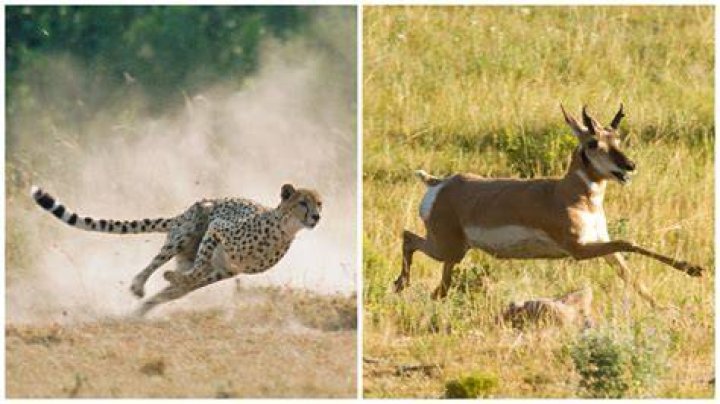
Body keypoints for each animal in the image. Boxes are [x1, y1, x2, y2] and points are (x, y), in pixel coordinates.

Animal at [395, 104, 704, 308]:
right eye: (593, 142)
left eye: (616, 138)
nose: (630, 165)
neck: (566, 193)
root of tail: (441, 183)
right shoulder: (579, 250)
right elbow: (628, 242)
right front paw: (694, 269)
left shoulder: (601, 244)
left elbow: (631, 275)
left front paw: (671, 298)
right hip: (446, 248)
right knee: (408, 238)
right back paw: (400, 285)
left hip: (454, 254)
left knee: (438, 286)